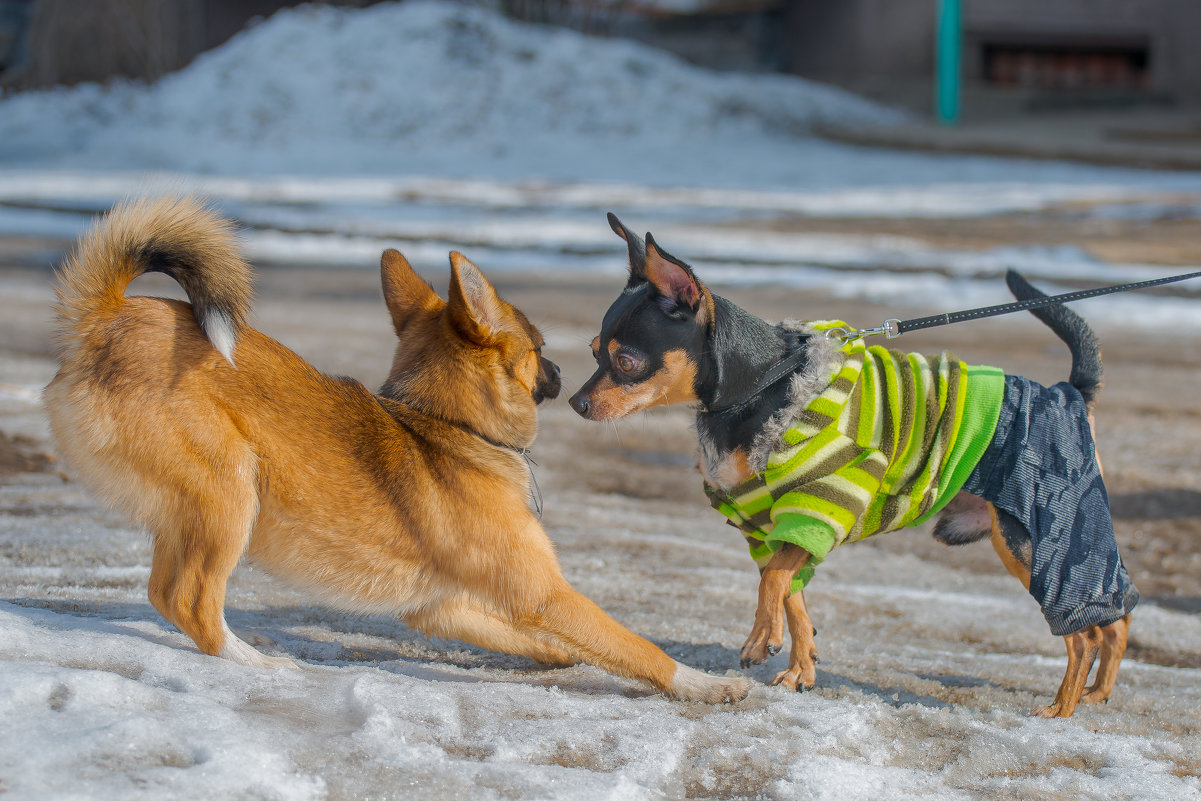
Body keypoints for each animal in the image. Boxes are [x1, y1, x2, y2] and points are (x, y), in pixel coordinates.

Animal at [44, 196, 749, 706]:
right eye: (540, 346)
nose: (564, 381)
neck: (447, 425)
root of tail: (105, 317)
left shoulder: (443, 605)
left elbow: (532, 634)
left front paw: (558, 654)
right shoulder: (544, 591)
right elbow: (633, 644)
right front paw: (704, 684)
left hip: (192, 510)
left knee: (166, 592)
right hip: (230, 488)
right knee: (189, 601)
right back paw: (255, 660)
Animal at [569, 216, 1133, 715]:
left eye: (625, 362)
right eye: (594, 351)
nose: (575, 403)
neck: (762, 386)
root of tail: (1067, 392)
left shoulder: (823, 503)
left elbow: (773, 583)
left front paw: (760, 637)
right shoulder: (773, 526)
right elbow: (791, 593)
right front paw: (800, 667)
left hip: (1041, 537)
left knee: (1082, 632)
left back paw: (1060, 710)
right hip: (1043, 541)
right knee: (1117, 615)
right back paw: (1097, 695)